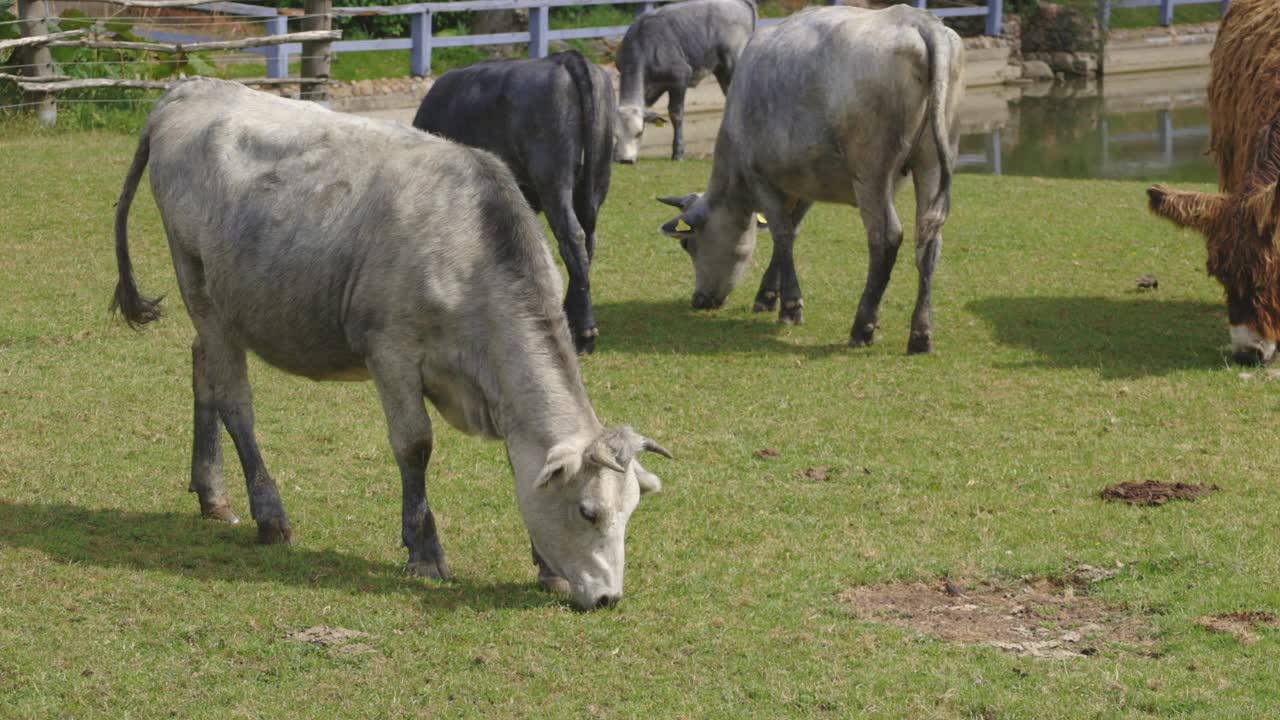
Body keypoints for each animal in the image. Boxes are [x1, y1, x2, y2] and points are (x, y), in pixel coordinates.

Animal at [409, 50, 609, 353]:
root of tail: (561, 58)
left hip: (553, 181)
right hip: (595, 183)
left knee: (572, 237)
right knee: (588, 240)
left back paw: (585, 332)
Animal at [614, 0, 752, 162]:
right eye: (616, 135)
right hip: (721, 71)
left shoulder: (680, 78)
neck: (643, 45)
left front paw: (678, 152)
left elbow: (676, 114)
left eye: (639, 133)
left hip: (733, 63)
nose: (624, 160)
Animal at [660, 4, 962, 353]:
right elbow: (790, 231)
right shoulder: (804, 183)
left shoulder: (762, 178)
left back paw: (863, 326)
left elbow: (782, 234)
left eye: (688, 244)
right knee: (929, 242)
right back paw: (920, 334)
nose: (699, 300)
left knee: (885, 238)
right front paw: (768, 295)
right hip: (932, 164)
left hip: (871, 173)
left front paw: (790, 306)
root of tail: (916, 20)